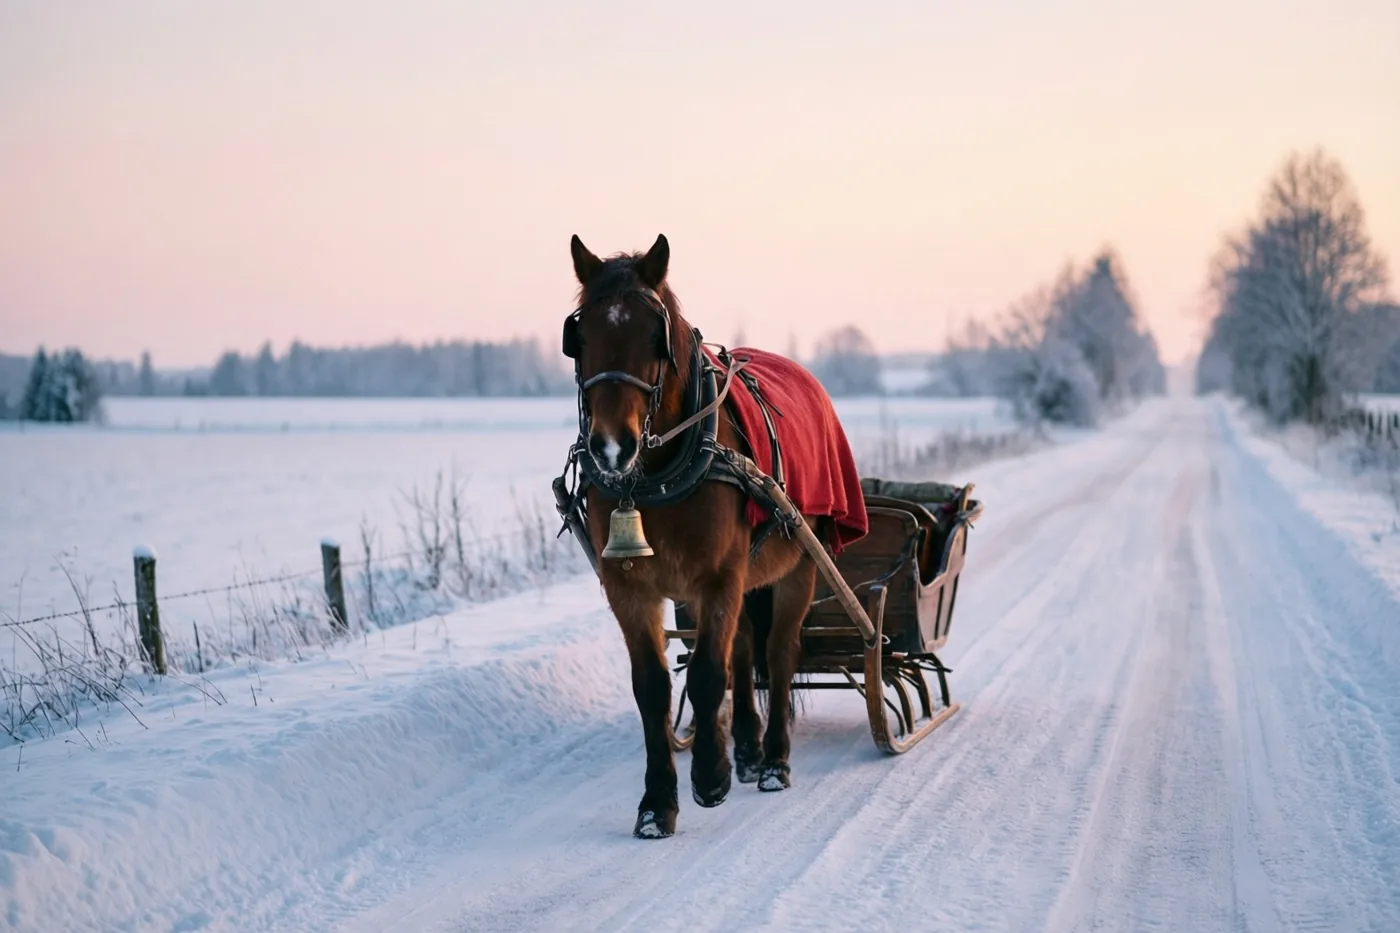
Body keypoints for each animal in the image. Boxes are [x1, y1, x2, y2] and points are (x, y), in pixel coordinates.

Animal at [558, 233, 856, 839]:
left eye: (656, 335)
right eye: (581, 339)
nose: (611, 447)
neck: (653, 476)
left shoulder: (720, 575)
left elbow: (705, 675)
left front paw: (710, 777)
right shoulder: (630, 587)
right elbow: (653, 686)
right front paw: (657, 803)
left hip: (800, 564)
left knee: (779, 652)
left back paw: (773, 760)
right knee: (743, 650)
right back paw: (745, 747)